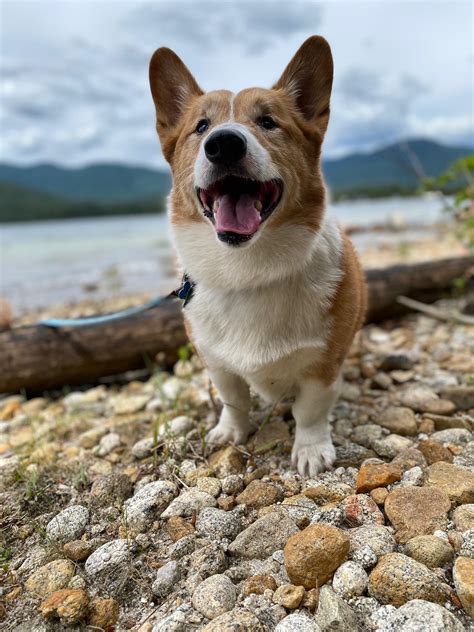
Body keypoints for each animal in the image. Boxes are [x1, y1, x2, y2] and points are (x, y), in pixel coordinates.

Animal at [149, 34, 366, 474]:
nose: (223, 143)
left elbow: (310, 410)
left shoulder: (322, 365)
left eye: (268, 122)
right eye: (201, 126)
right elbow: (234, 400)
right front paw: (230, 432)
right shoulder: (216, 363)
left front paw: (310, 450)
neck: (247, 270)